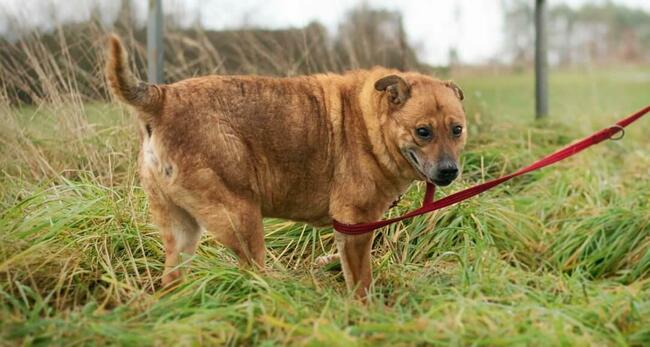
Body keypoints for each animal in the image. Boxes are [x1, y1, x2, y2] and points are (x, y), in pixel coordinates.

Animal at [104, 35, 464, 300]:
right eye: (423, 131)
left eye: (457, 130)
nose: (449, 170)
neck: (370, 122)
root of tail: (161, 97)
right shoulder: (355, 225)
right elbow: (361, 283)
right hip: (243, 221)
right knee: (251, 276)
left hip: (182, 233)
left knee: (171, 283)